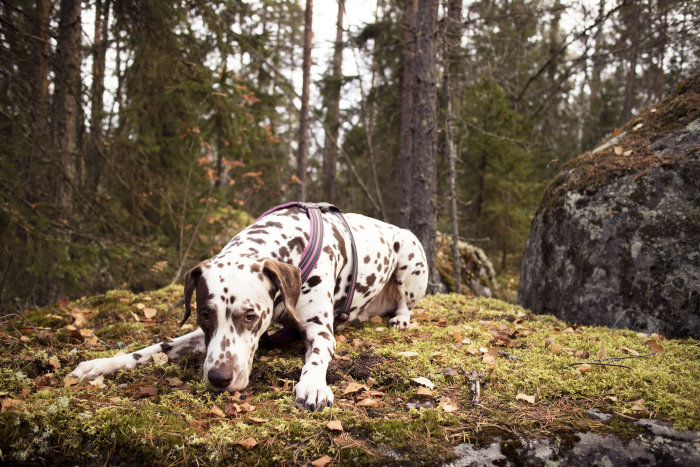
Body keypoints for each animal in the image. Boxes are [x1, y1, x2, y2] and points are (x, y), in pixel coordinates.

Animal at [74, 207, 430, 412]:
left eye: (250, 315)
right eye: (204, 315)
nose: (219, 378)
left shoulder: (321, 331)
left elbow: (315, 357)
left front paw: (313, 385)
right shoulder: (203, 336)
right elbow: (153, 348)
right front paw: (100, 364)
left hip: (410, 256)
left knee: (406, 302)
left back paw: (400, 318)